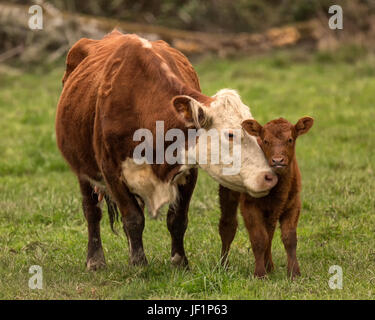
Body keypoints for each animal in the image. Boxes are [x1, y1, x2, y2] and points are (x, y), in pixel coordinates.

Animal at [56, 30, 280, 270]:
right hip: (83, 170)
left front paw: (179, 261)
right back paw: (95, 260)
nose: (269, 177)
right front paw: (139, 264)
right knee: (92, 211)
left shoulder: (188, 170)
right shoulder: (111, 171)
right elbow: (133, 218)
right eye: (230, 134)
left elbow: (177, 219)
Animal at [220, 117, 314, 278]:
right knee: (227, 226)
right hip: (228, 191)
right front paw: (260, 274)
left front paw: (294, 272)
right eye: (265, 141)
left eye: (290, 139)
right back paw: (223, 266)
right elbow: (258, 239)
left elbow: (289, 238)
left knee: (269, 233)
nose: (278, 160)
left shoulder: (293, 204)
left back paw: (269, 265)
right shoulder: (249, 206)